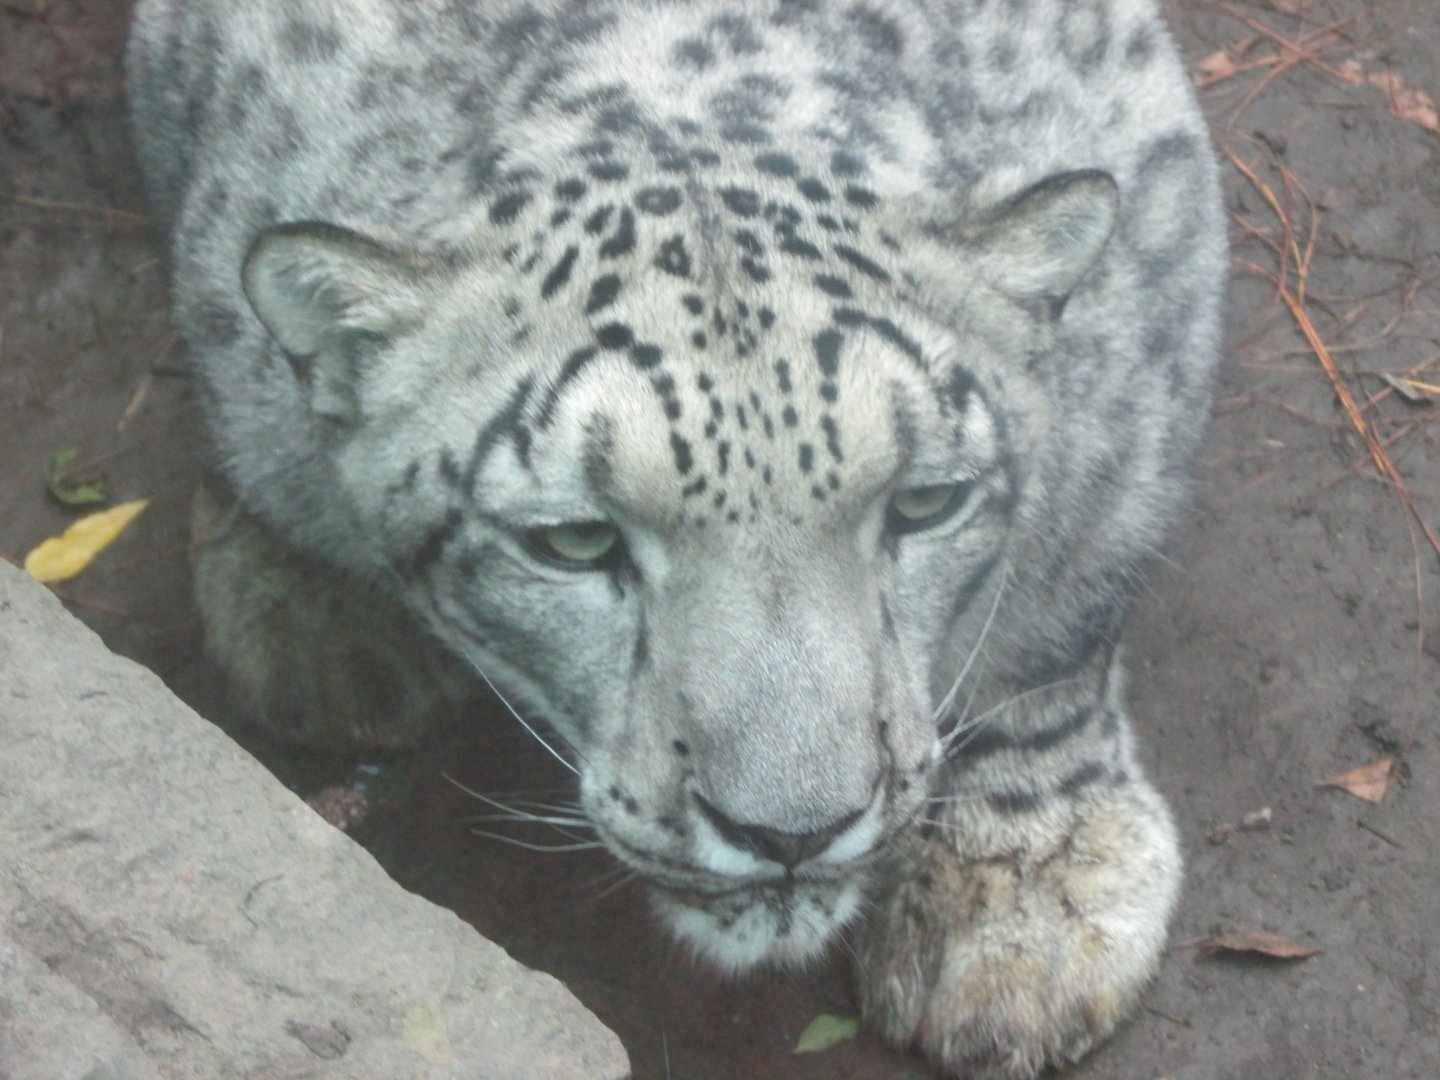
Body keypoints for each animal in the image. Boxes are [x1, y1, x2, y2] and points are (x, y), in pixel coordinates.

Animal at [126, 0, 1224, 1075]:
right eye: (574, 541)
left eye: (925, 503)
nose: (792, 832)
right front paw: (309, 603)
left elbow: (1049, 638)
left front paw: (1019, 899)